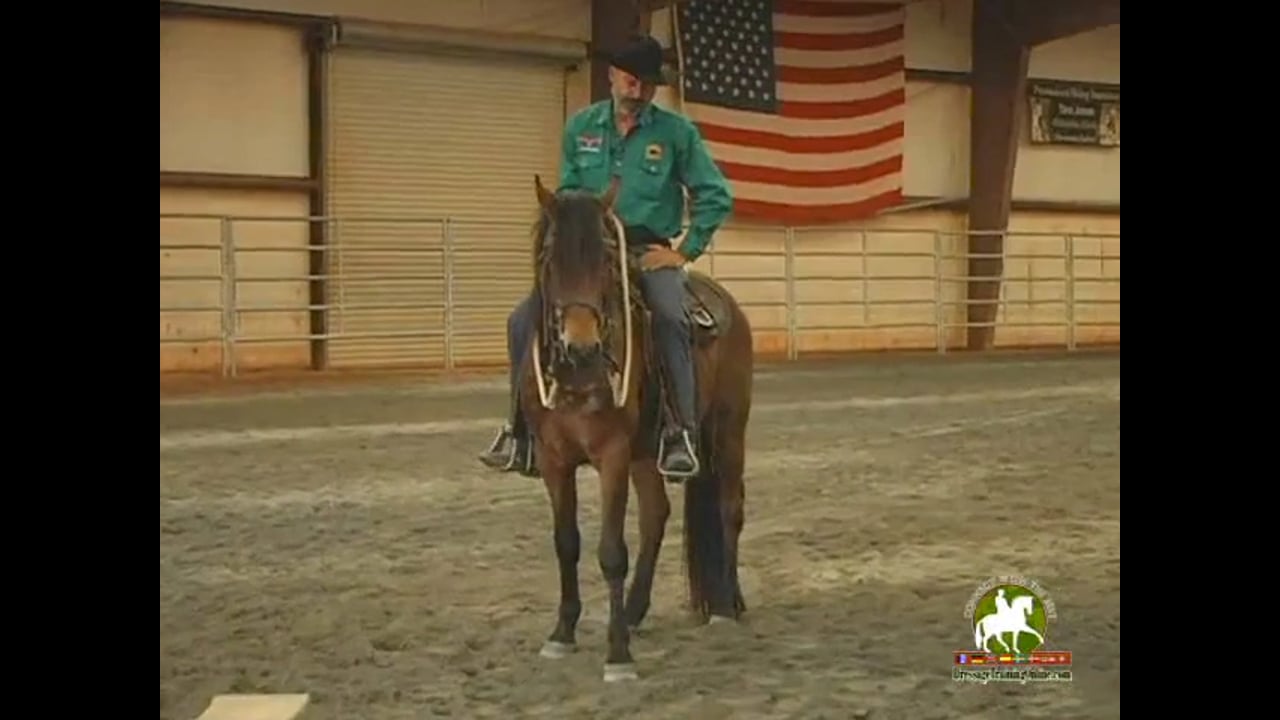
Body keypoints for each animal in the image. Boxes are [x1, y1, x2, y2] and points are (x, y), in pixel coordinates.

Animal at [520, 174, 754, 682]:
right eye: (549, 258)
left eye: (608, 259)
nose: (582, 348)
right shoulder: (553, 458)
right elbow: (566, 543)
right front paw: (562, 632)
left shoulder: (611, 454)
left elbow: (611, 552)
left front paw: (618, 655)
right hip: (648, 452)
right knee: (656, 515)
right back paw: (633, 610)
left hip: (727, 432)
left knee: (730, 509)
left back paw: (726, 605)